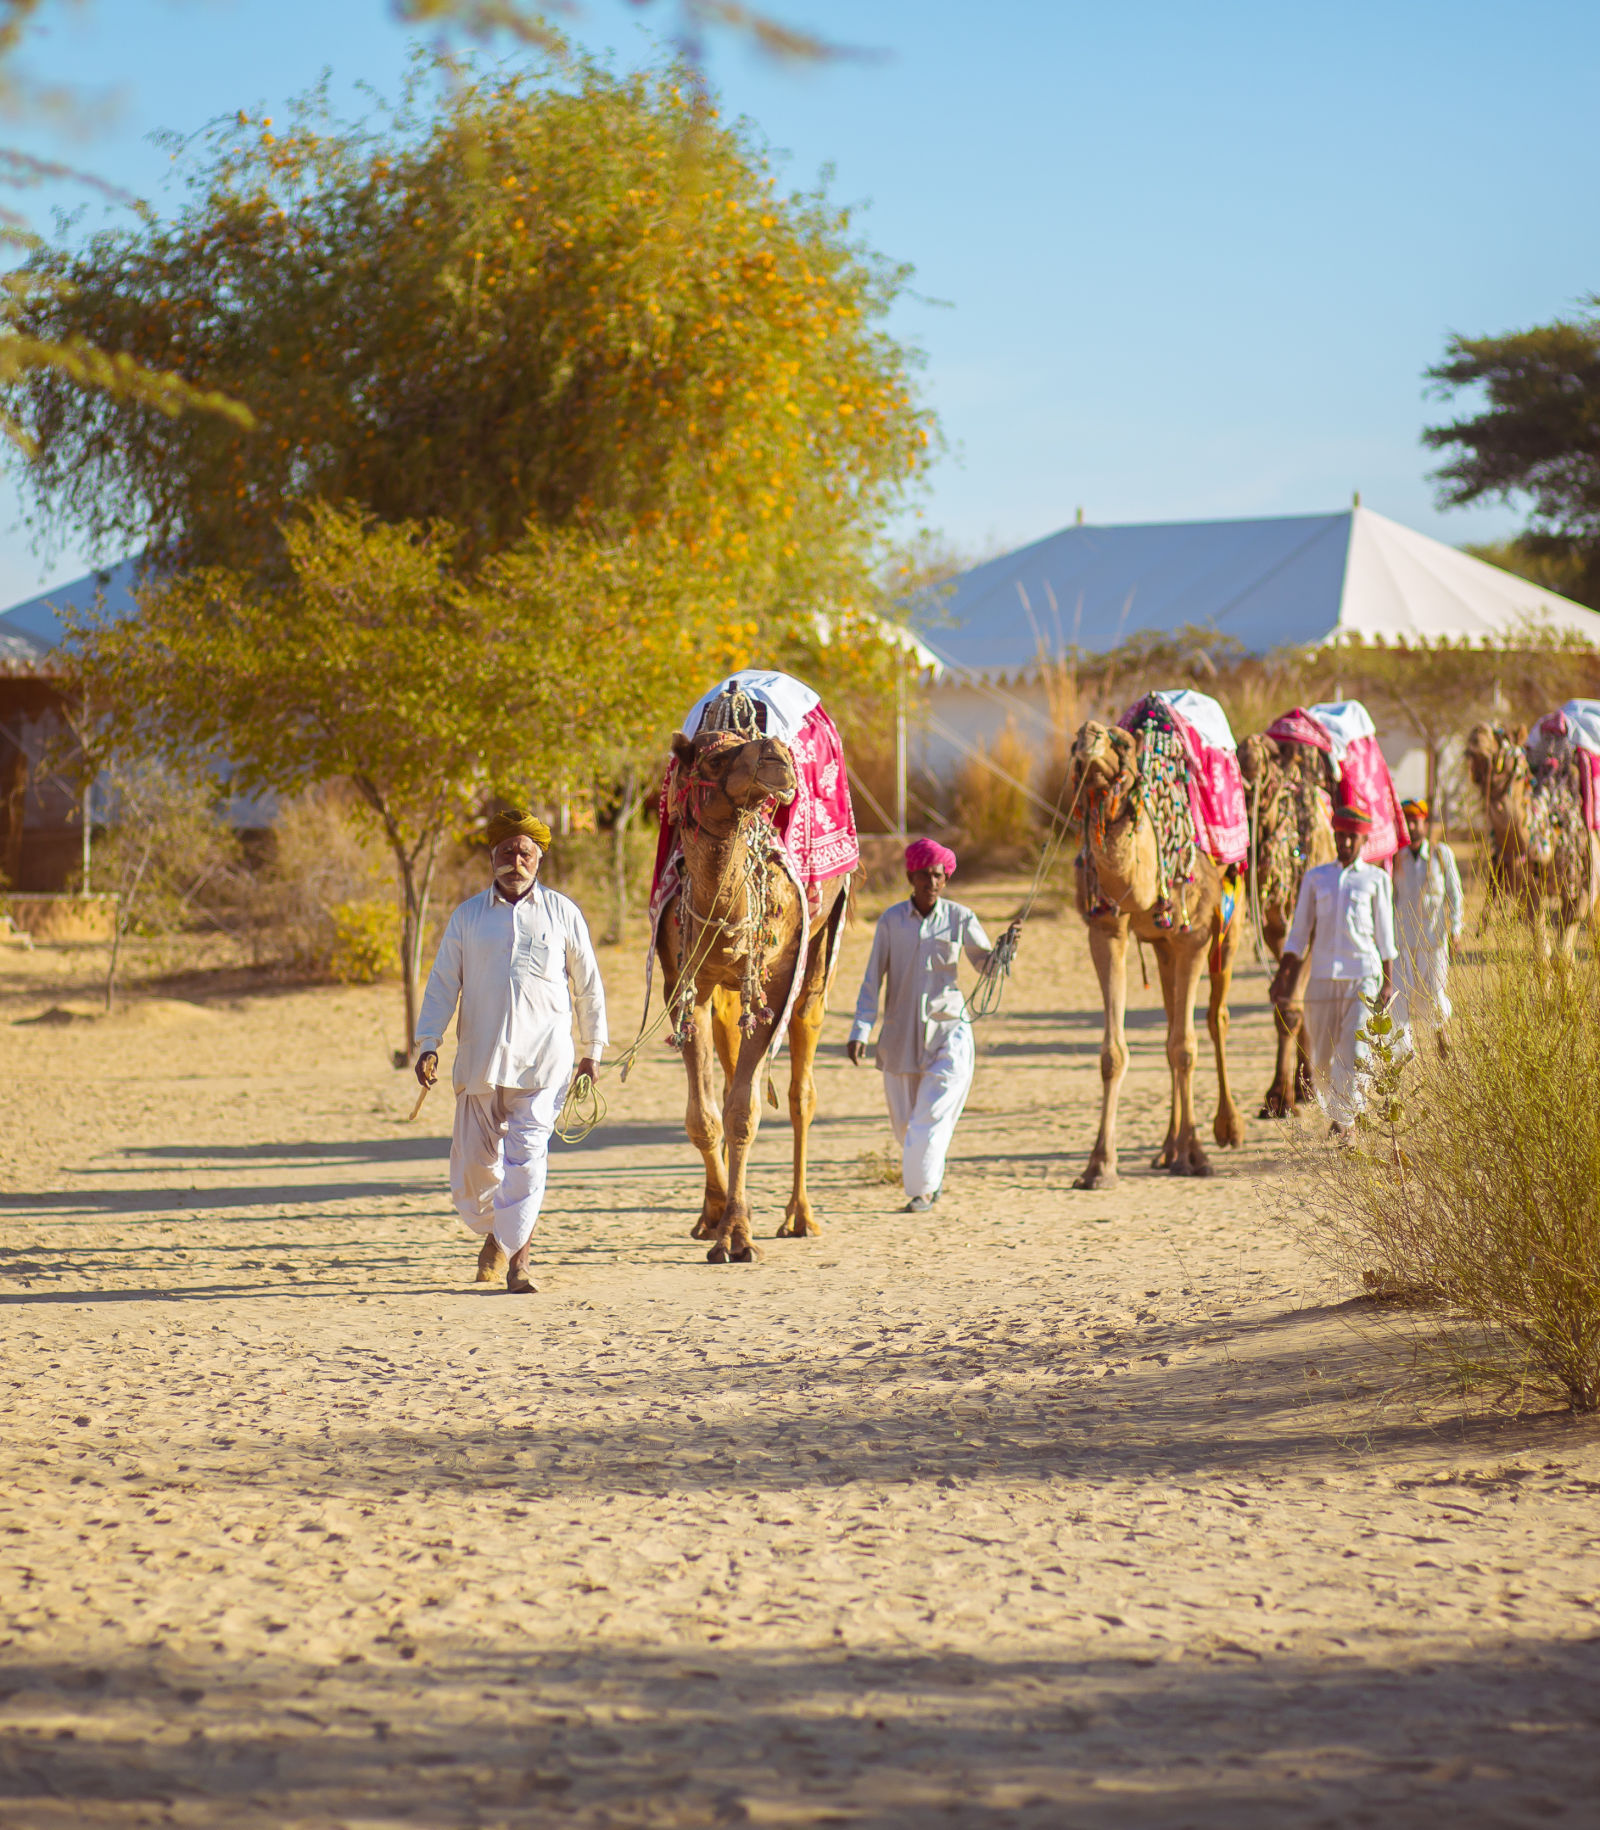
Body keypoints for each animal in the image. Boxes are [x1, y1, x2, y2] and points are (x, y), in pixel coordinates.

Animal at [651, 724, 849, 1259]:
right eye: (713, 758)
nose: (779, 758)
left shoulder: (776, 981)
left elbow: (744, 1110)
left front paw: (738, 1235)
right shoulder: (686, 984)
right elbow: (705, 1114)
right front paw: (716, 1215)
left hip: (818, 952)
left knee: (802, 1091)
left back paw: (800, 1217)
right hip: (728, 992)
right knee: (727, 1077)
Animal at [1069, 721, 1237, 1193]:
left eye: (1122, 742)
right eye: (1072, 744)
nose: (1088, 736)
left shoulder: (1194, 937)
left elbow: (1186, 1047)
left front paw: (1196, 1156)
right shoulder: (1106, 930)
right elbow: (1114, 1054)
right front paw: (1099, 1166)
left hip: (1228, 926)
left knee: (1217, 1018)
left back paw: (1228, 1129)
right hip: (1162, 948)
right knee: (1169, 1027)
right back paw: (1166, 1149)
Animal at [1464, 724, 1589, 966]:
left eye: (1503, 736)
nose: (1477, 732)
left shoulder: (1581, 888)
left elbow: (1563, 953)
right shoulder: (1528, 892)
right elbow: (1543, 953)